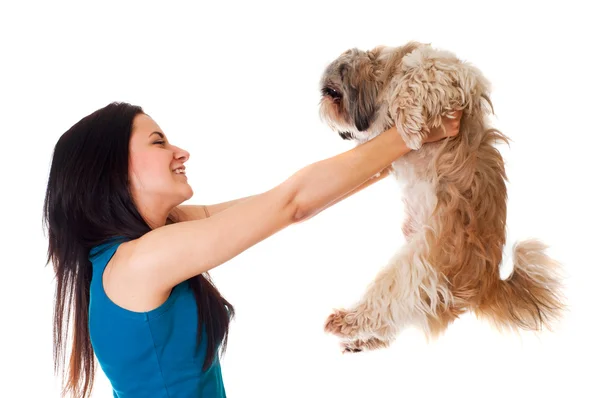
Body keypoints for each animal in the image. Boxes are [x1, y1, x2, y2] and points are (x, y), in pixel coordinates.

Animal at [318, 40, 564, 352]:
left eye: (332, 93)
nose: (322, 105)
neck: (386, 74)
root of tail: (487, 283)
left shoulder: (449, 73)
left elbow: (416, 79)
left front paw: (408, 124)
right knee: (395, 315)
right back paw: (362, 340)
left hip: (414, 268)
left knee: (383, 306)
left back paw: (351, 324)